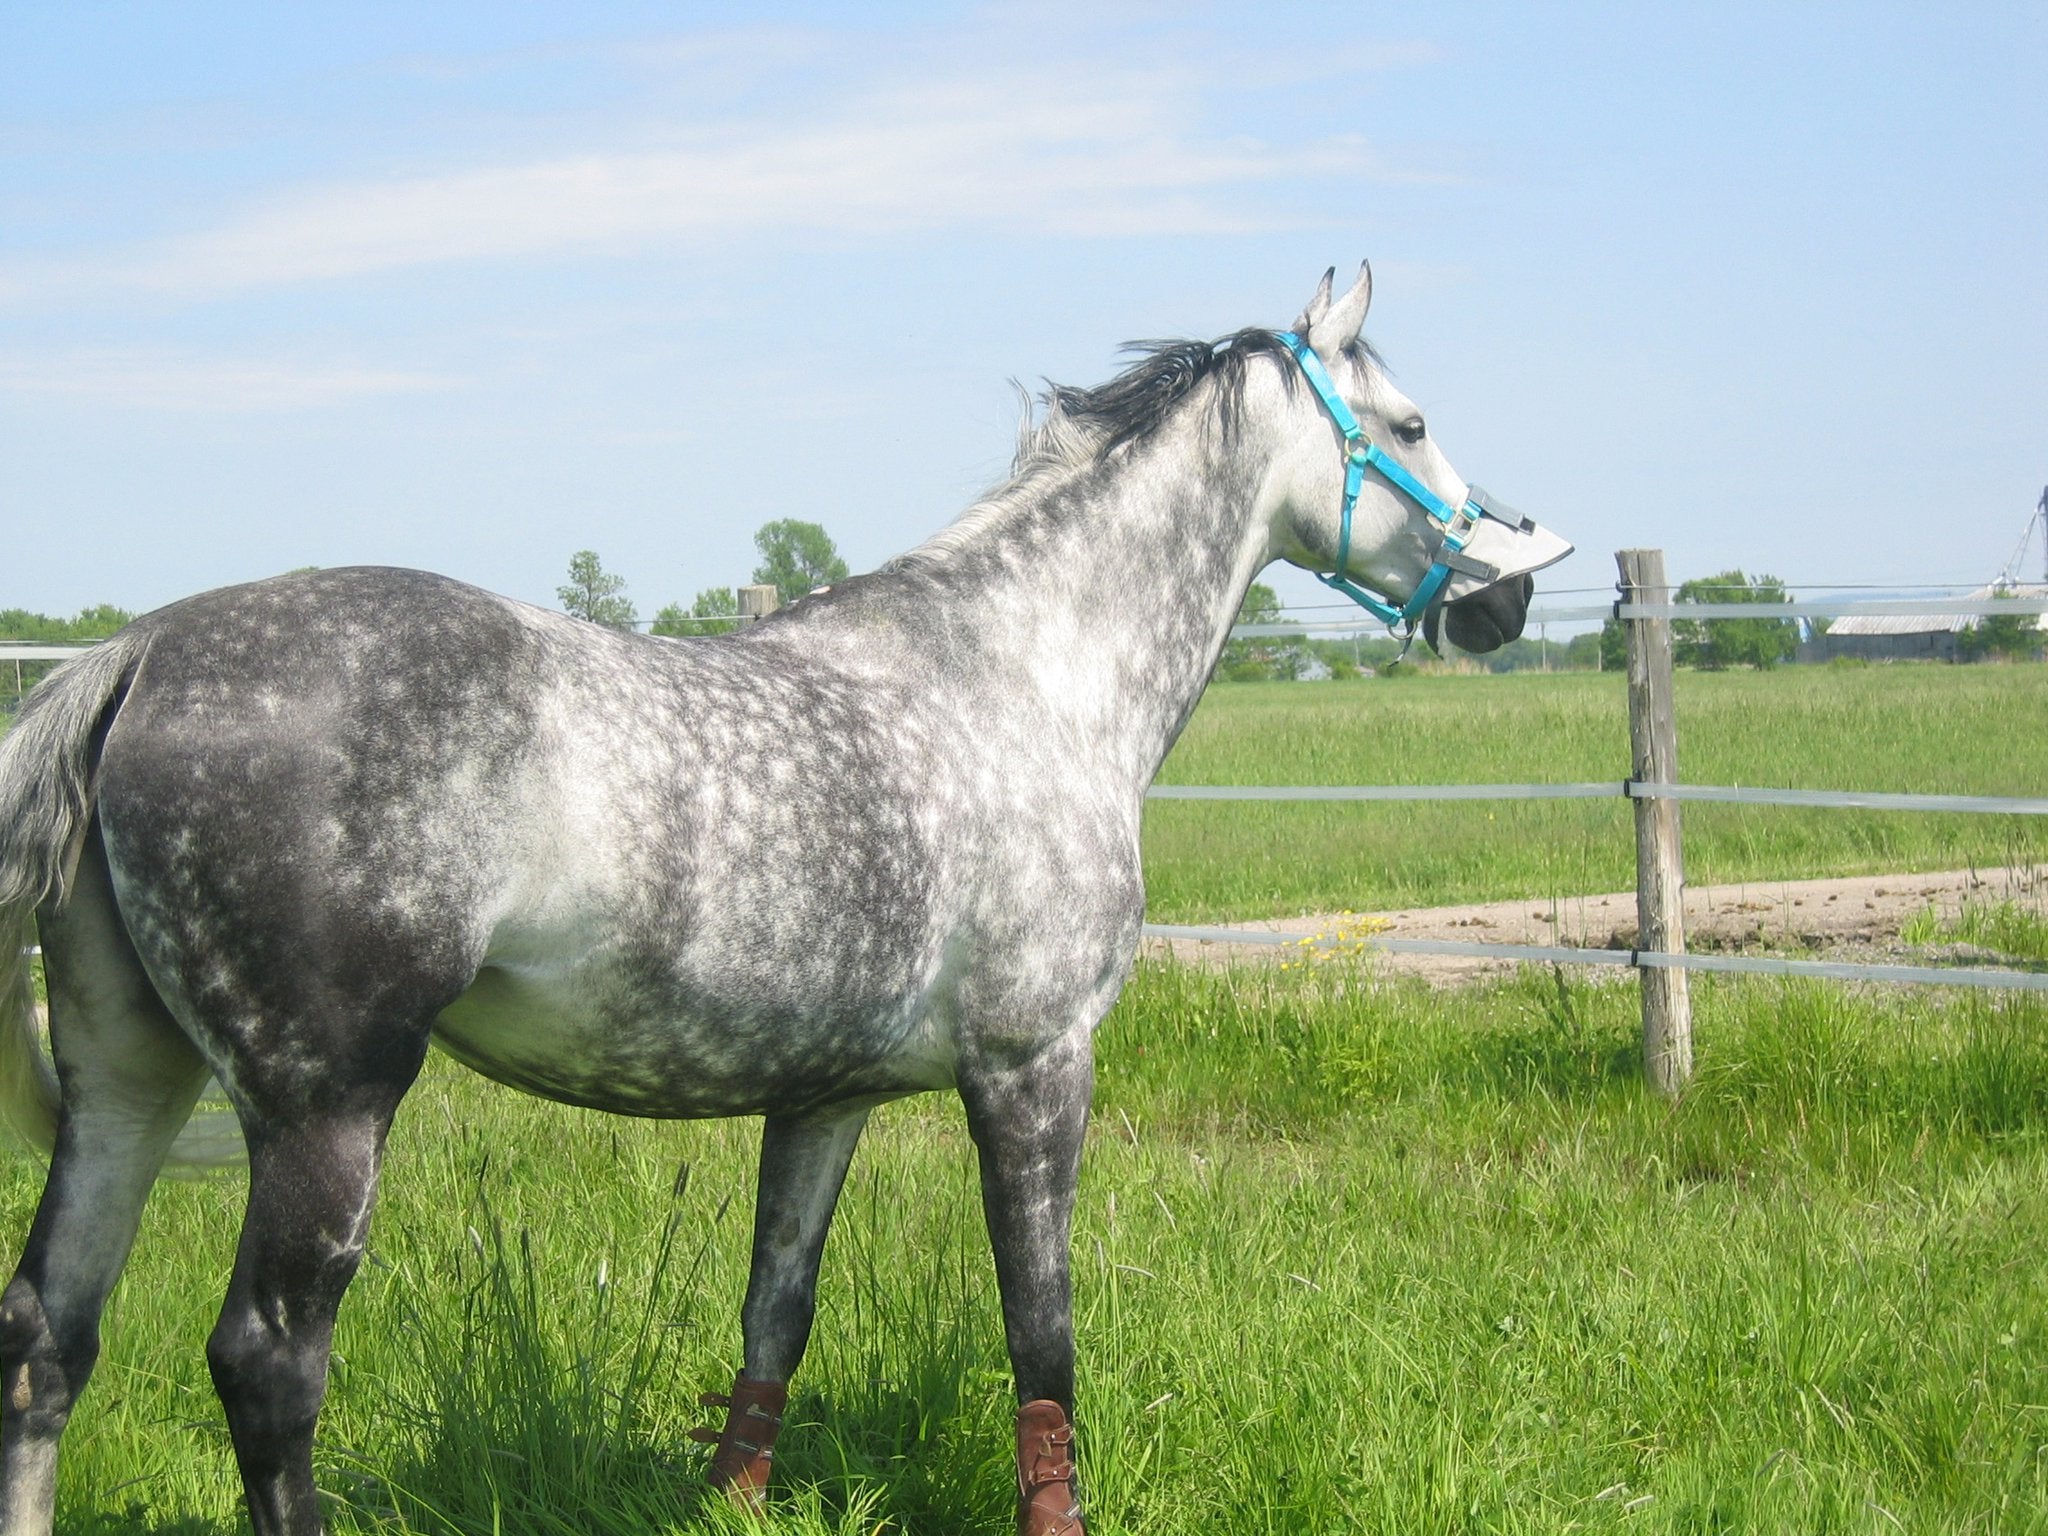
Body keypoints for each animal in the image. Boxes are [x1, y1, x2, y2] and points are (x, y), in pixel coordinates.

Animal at [0, 270, 1564, 1531]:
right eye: (1409, 425)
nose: (1501, 595)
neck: (1026, 678)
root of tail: (137, 657)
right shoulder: (1035, 1070)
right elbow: (1040, 1332)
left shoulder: (824, 1099)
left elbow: (775, 1315)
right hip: (323, 1108)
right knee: (267, 1365)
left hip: (129, 1081)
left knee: (45, 1340)